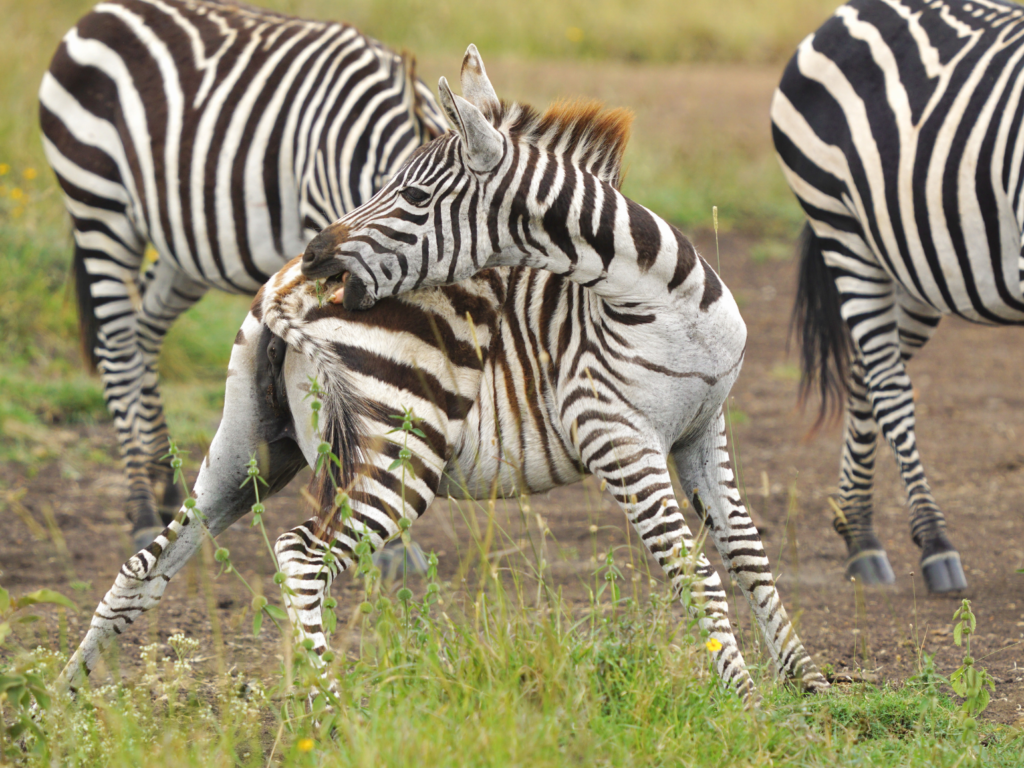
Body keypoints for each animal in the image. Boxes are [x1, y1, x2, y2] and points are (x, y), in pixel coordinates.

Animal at [37, 0, 446, 548]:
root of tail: (102, 12)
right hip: (98, 202)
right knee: (118, 345)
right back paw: (142, 508)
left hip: (183, 245)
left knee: (143, 332)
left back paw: (167, 485)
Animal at [58, 43, 831, 704]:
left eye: (415, 199)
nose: (315, 256)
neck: (662, 301)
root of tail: (281, 295)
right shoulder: (617, 435)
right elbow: (692, 569)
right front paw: (743, 702)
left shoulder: (705, 426)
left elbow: (746, 551)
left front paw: (805, 679)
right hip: (399, 452)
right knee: (302, 558)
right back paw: (331, 710)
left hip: (249, 445)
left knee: (147, 565)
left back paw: (62, 697)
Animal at [770, 0, 1024, 593]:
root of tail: (850, 10)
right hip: (844, 231)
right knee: (888, 384)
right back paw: (933, 545)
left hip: (915, 266)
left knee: (865, 370)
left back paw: (858, 532)